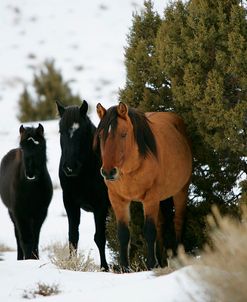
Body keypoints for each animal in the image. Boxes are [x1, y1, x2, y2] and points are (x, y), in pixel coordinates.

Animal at [0, 123, 52, 260]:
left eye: (39, 146)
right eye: (22, 148)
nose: (30, 174)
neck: (30, 189)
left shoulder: (40, 213)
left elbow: (35, 238)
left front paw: (35, 258)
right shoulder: (20, 213)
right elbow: (26, 239)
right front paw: (28, 259)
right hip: (12, 213)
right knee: (18, 236)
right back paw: (20, 257)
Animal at [57, 99, 110, 272]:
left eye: (82, 132)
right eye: (60, 131)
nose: (70, 167)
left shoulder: (101, 206)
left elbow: (99, 238)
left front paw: (105, 268)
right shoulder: (70, 203)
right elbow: (73, 236)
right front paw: (72, 265)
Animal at [93, 102, 192, 270]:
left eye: (123, 134)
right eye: (100, 136)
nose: (108, 172)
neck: (130, 170)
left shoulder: (150, 198)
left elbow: (149, 231)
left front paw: (151, 265)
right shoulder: (117, 199)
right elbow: (123, 233)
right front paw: (124, 268)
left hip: (181, 191)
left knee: (178, 221)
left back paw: (178, 258)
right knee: (161, 224)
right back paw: (161, 260)